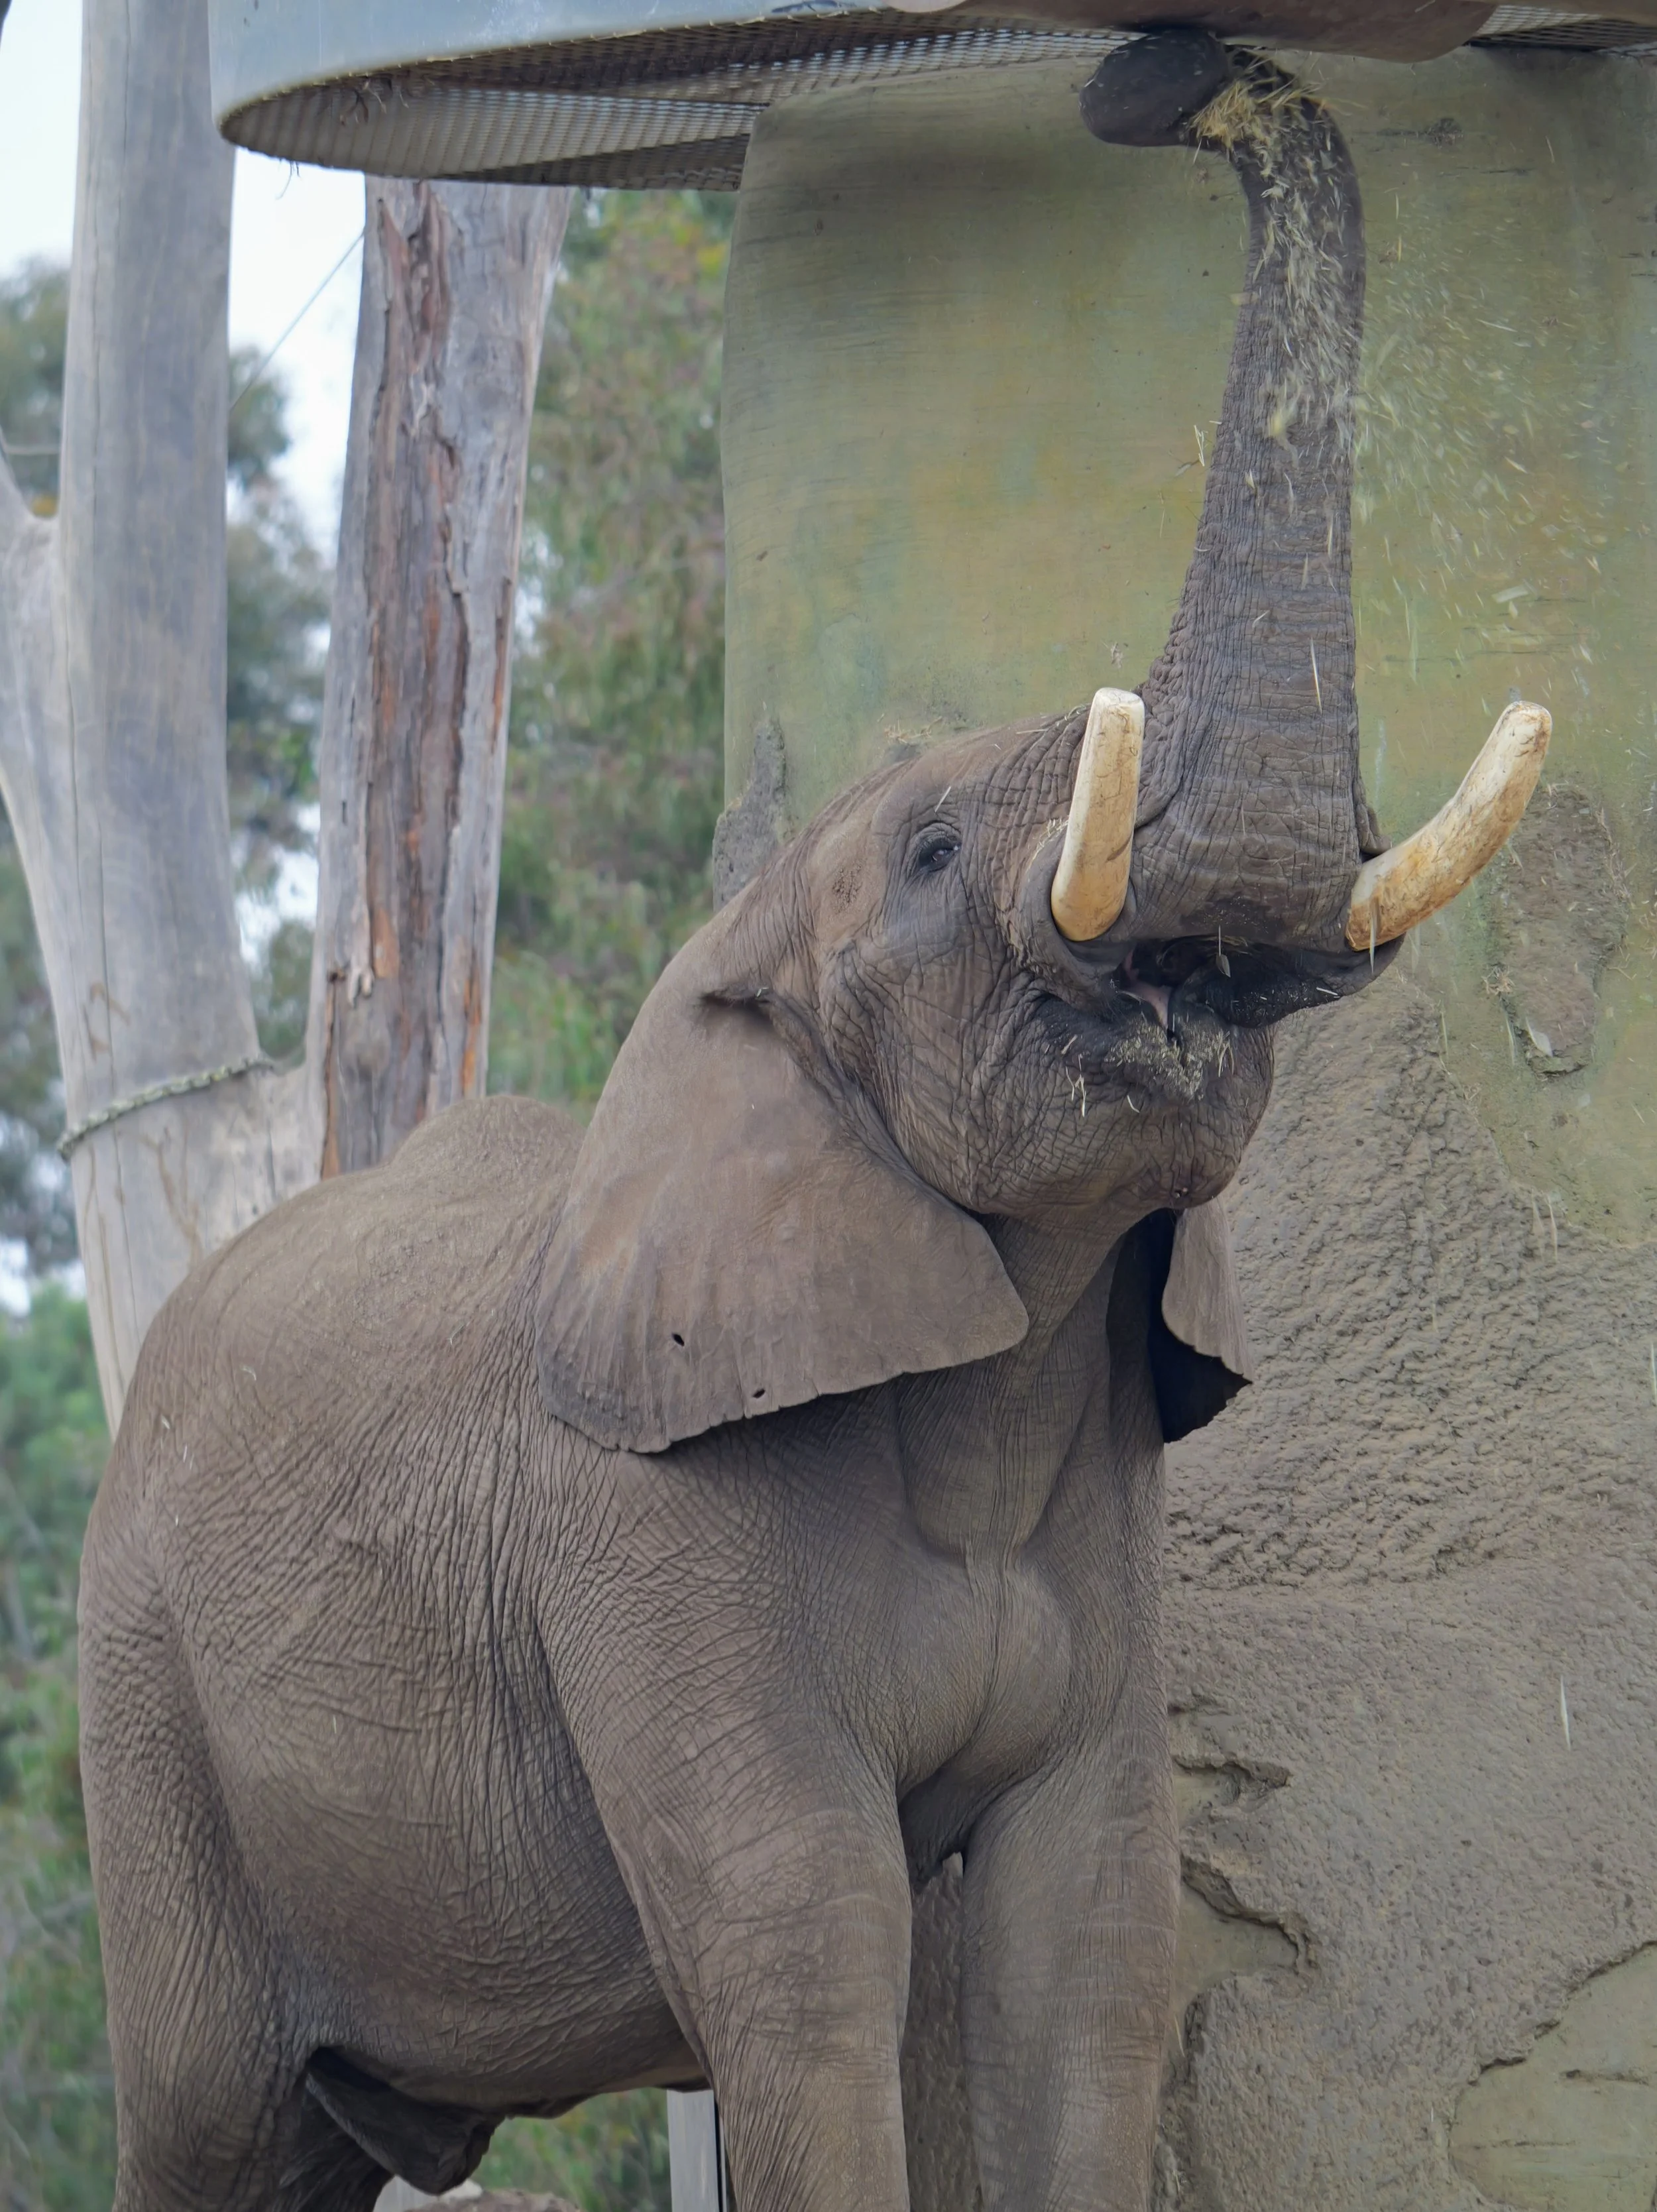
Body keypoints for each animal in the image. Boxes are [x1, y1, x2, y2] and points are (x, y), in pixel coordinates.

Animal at [78, 32, 1547, 2212]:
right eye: (930, 851)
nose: (1156, 80)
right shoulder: (642, 1516)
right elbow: (809, 1953)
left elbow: (1086, 1948)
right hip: (143, 1700)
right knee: (213, 2118)